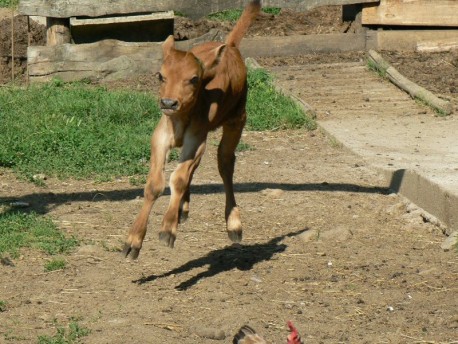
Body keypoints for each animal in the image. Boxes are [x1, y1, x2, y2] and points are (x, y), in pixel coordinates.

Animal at [122, 0, 262, 258]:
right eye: (160, 76)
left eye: (194, 78)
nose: (168, 103)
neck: (180, 119)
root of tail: (230, 46)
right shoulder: (161, 137)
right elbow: (155, 184)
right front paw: (133, 241)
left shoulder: (196, 139)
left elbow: (177, 178)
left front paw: (168, 230)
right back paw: (183, 209)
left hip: (236, 121)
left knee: (225, 163)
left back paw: (233, 224)